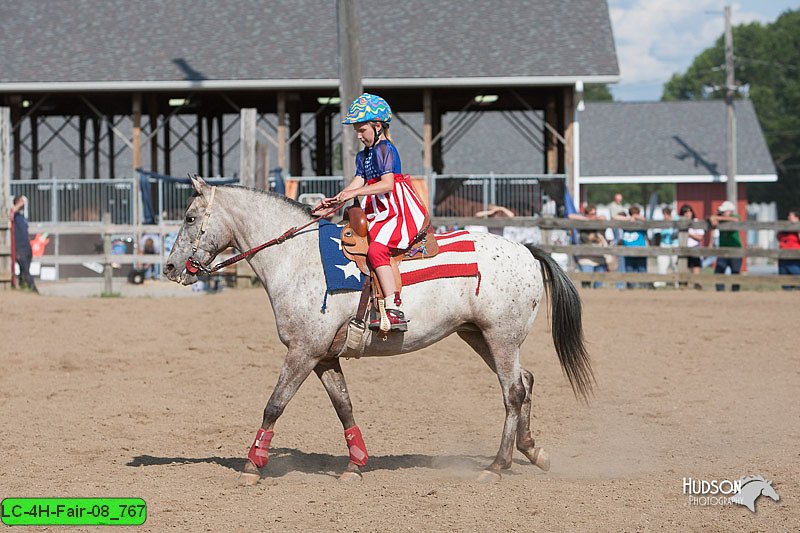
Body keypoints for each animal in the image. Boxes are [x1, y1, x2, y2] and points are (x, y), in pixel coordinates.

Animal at [166, 178, 592, 482]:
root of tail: (526, 250)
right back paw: (532, 450)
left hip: (501, 338)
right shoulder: (324, 357)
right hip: (479, 336)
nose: (170, 268)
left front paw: (253, 466)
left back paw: (497, 464)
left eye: (189, 218)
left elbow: (274, 405)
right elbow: (344, 406)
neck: (297, 259)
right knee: (526, 382)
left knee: (513, 391)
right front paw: (356, 464)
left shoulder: (303, 351)